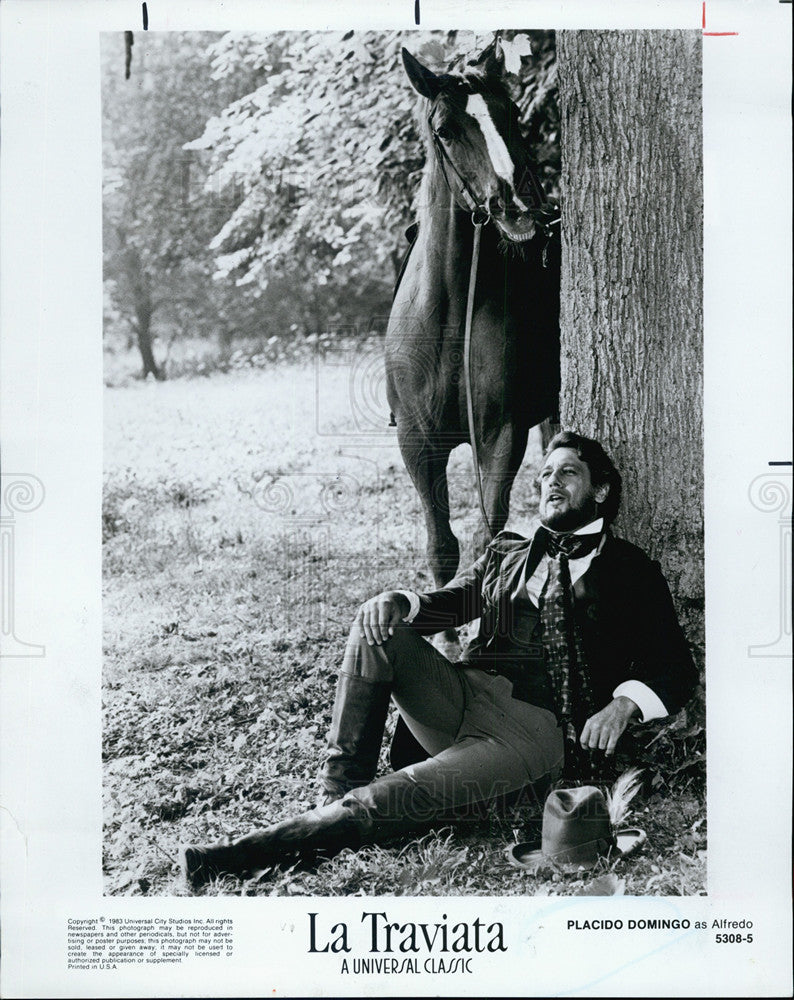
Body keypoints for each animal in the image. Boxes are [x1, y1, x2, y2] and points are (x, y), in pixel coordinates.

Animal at [386, 43, 560, 596]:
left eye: (512, 114)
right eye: (445, 130)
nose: (520, 207)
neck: (448, 313)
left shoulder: (499, 435)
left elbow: (491, 541)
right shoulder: (417, 443)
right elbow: (441, 547)